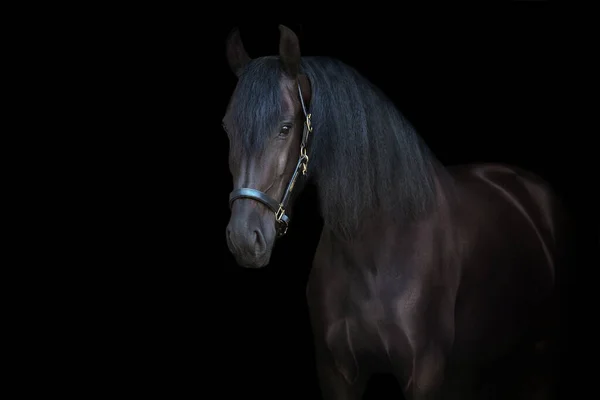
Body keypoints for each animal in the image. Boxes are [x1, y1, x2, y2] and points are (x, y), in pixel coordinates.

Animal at [221, 25, 568, 400]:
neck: (376, 250)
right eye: (227, 127)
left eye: (285, 127)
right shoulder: (337, 374)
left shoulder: (425, 374)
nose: (244, 238)